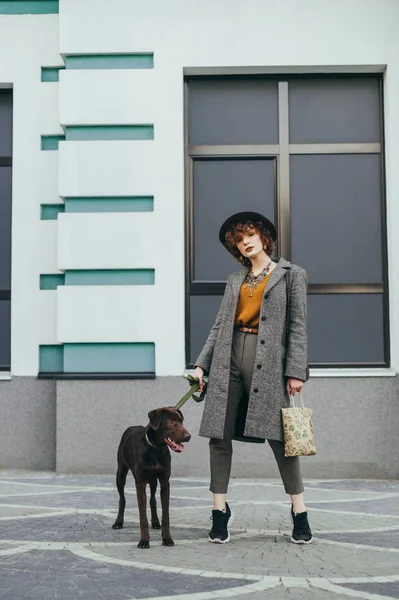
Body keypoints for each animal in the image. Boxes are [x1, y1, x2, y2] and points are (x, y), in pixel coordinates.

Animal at [111, 408, 191, 548]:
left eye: (181, 421)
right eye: (171, 422)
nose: (188, 436)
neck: (155, 448)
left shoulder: (165, 482)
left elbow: (166, 516)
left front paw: (167, 538)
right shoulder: (140, 483)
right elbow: (143, 518)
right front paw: (143, 541)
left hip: (153, 481)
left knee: (153, 499)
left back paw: (155, 522)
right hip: (120, 474)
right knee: (122, 499)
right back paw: (118, 522)